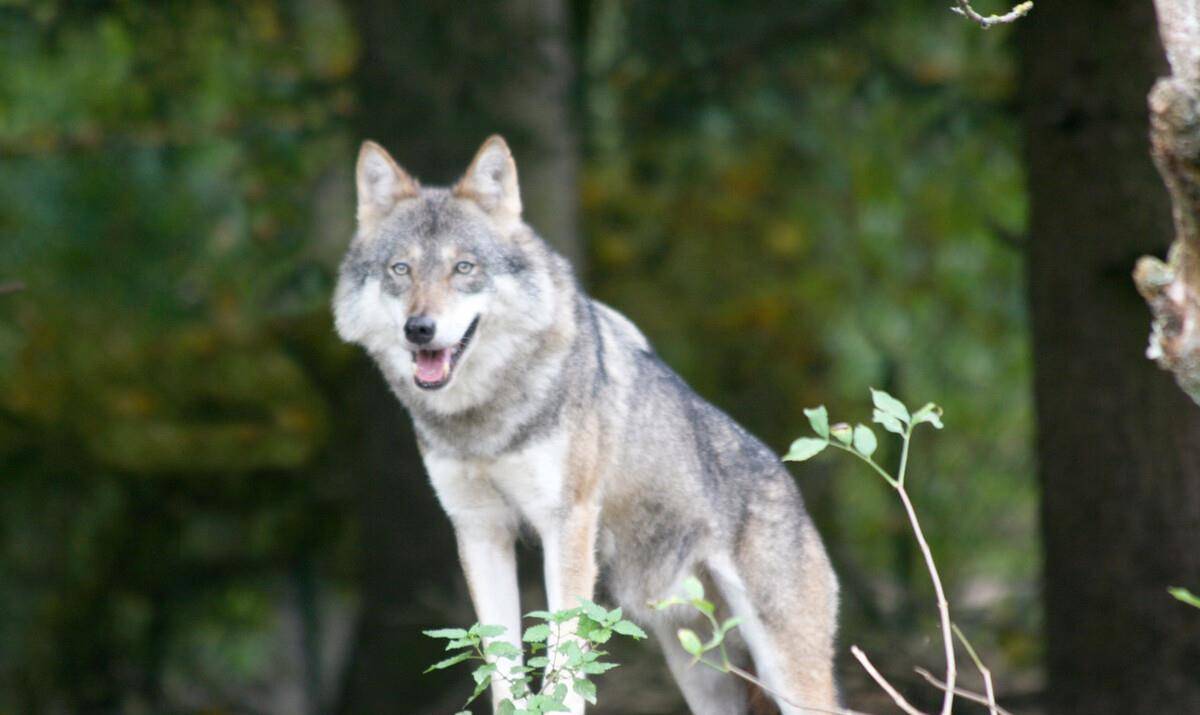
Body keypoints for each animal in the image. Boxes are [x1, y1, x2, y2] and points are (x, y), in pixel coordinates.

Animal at [328, 136, 835, 710]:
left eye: (463, 267)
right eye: (400, 269)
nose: (420, 329)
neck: (484, 424)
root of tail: (790, 485)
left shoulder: (566, 523)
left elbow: (564, 659)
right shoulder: (480, 529)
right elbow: (501, 669)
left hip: (787, 675)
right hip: (700, 672)